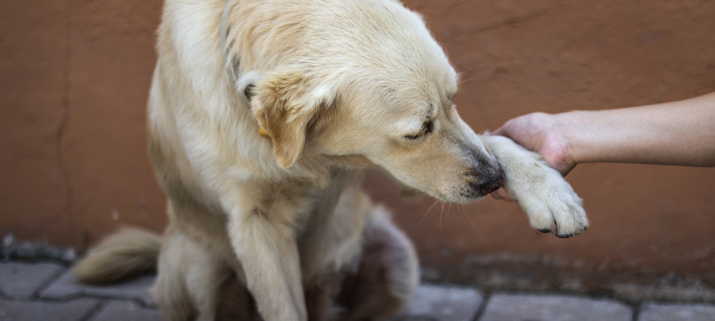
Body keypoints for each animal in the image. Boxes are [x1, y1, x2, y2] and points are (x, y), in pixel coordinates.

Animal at [74, 0, 588, 318]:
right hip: (197, 263)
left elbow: (494, 140)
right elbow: (282, 305)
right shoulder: (255, 222)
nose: (492, 181)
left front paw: (547, 190)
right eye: (417, 130)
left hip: (397, 258)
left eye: (454, 101)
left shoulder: (400, 170)